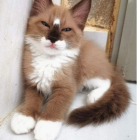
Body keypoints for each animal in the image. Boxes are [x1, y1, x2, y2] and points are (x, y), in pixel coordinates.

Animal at [10, 0, 130, 140]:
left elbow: (55, 107)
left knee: (108, 80)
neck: (48, 60)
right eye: (45, 24)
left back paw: (94, 96)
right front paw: (24, 118)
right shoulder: (34, 84)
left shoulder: (66, 88)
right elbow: (31, 101)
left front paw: (46, 127)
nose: (53, 38)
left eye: (66, 29)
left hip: (87, 66)